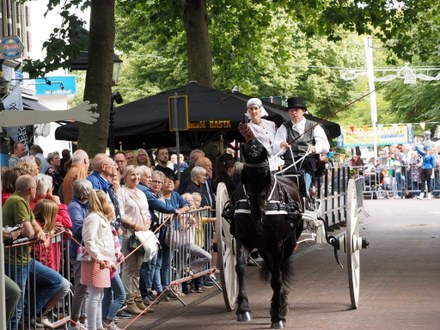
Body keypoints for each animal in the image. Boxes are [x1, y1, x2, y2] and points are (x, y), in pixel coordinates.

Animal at [232, 139, 304, 328]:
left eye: (265, 174)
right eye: (245, 174)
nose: (257, 213)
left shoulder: (277, 244)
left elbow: (277, 278)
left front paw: (278, 315)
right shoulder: (243, 240)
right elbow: (240, 267)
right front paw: (243, 309)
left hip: (288, 245)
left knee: (279, 271)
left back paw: (279, 305)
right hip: (265, 249)